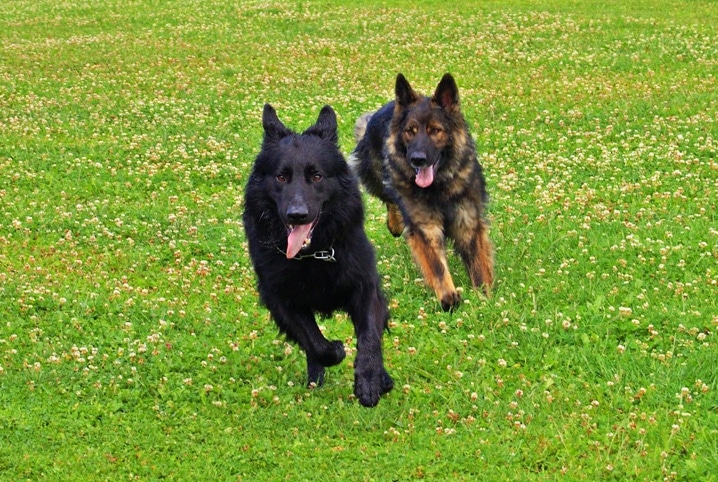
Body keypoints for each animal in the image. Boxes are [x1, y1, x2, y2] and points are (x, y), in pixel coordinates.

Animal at [246, 102, 394, 406]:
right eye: (281, 176)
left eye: (316, 176)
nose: (297, 214)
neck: (313, 254)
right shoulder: (281, 299)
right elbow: (315, 343)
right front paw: (335, 351)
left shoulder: (365, 287)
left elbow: (370, 336)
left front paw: (370, 379)